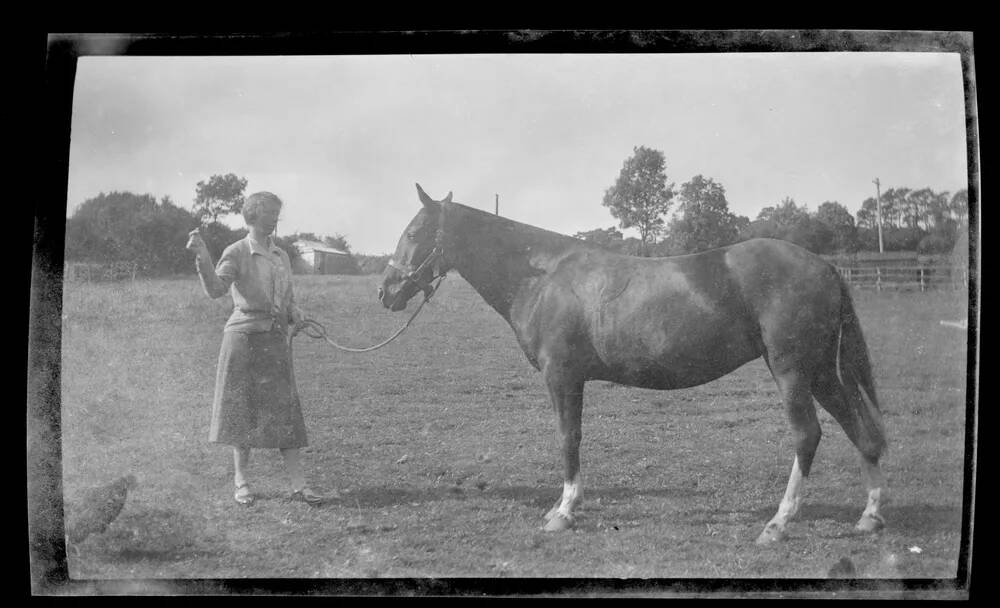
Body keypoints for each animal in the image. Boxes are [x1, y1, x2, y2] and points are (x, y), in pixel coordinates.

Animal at [378, 183, 888, 544]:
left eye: (413, 233)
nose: (385, 291)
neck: (543, 276)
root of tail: (823, 266)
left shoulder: (562, 376)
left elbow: (568, 438)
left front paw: (564, 512)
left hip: (791, 371)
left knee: (808, 434)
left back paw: (779, 523)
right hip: (820, 371)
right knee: (859, 430)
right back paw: (869, 516)